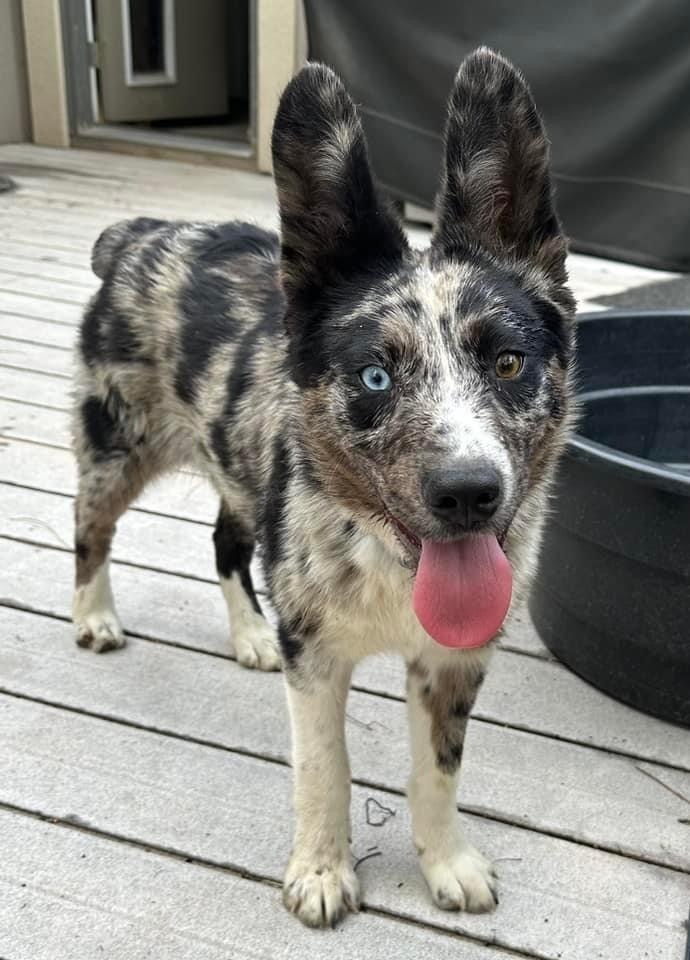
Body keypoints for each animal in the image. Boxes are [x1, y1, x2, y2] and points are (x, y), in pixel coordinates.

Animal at [71, 48, 576, 928]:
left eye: (509, 362)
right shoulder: (316, 657)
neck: (389, 563)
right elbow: (324, 768)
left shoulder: (452, 665)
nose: (468, 494)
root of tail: (140, 234)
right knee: (90, 528)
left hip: (239, 473)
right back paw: (94, 615)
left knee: (224, 544)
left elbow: (438, 769)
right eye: (375, 375)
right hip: (117, 447)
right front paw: (320, 871)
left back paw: (249, 634)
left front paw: (446, 862)